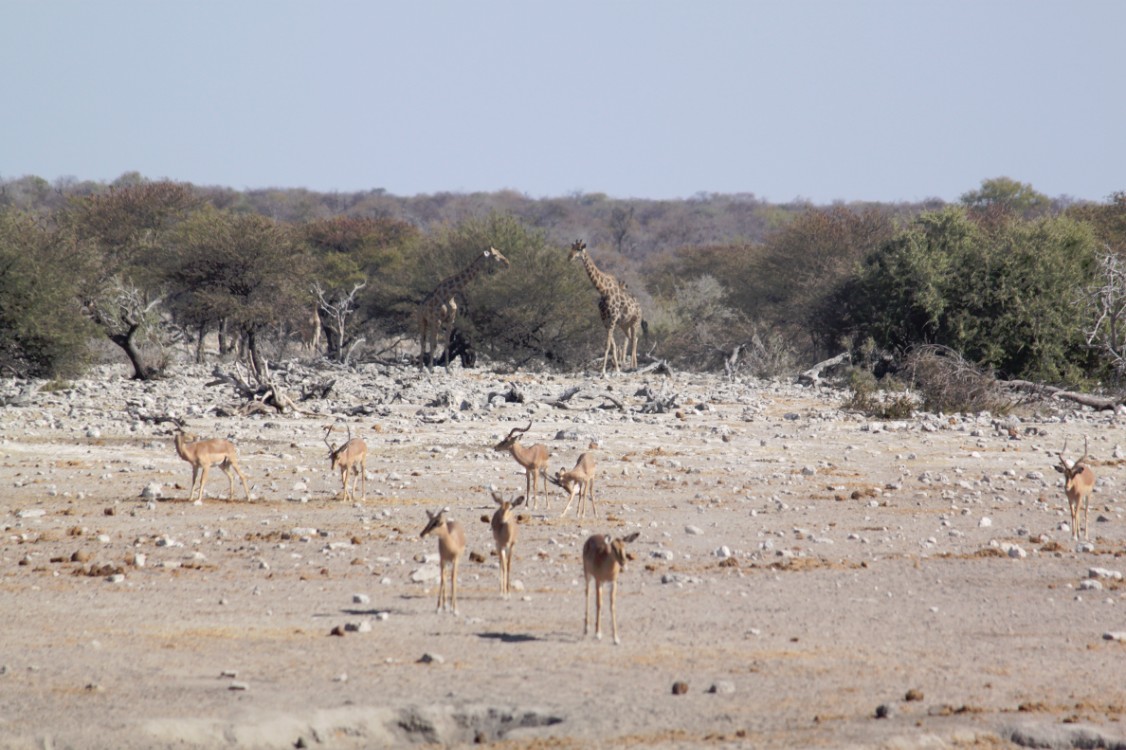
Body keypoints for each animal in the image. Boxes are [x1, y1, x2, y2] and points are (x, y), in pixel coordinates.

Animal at [567, 239, 639, 373]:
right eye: (572, 248)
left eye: (579, 249)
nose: (569, 257)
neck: (603, 290)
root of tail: (639, 306)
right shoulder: (605, 319)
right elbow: (612, 345)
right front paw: (616, 369)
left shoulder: (612, 319)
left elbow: (607, 345)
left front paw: (603, 371)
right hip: (624, 324)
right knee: (632, 339)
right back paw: (632, 365)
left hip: (635, 322)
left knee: (635, 339)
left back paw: (634, 366)